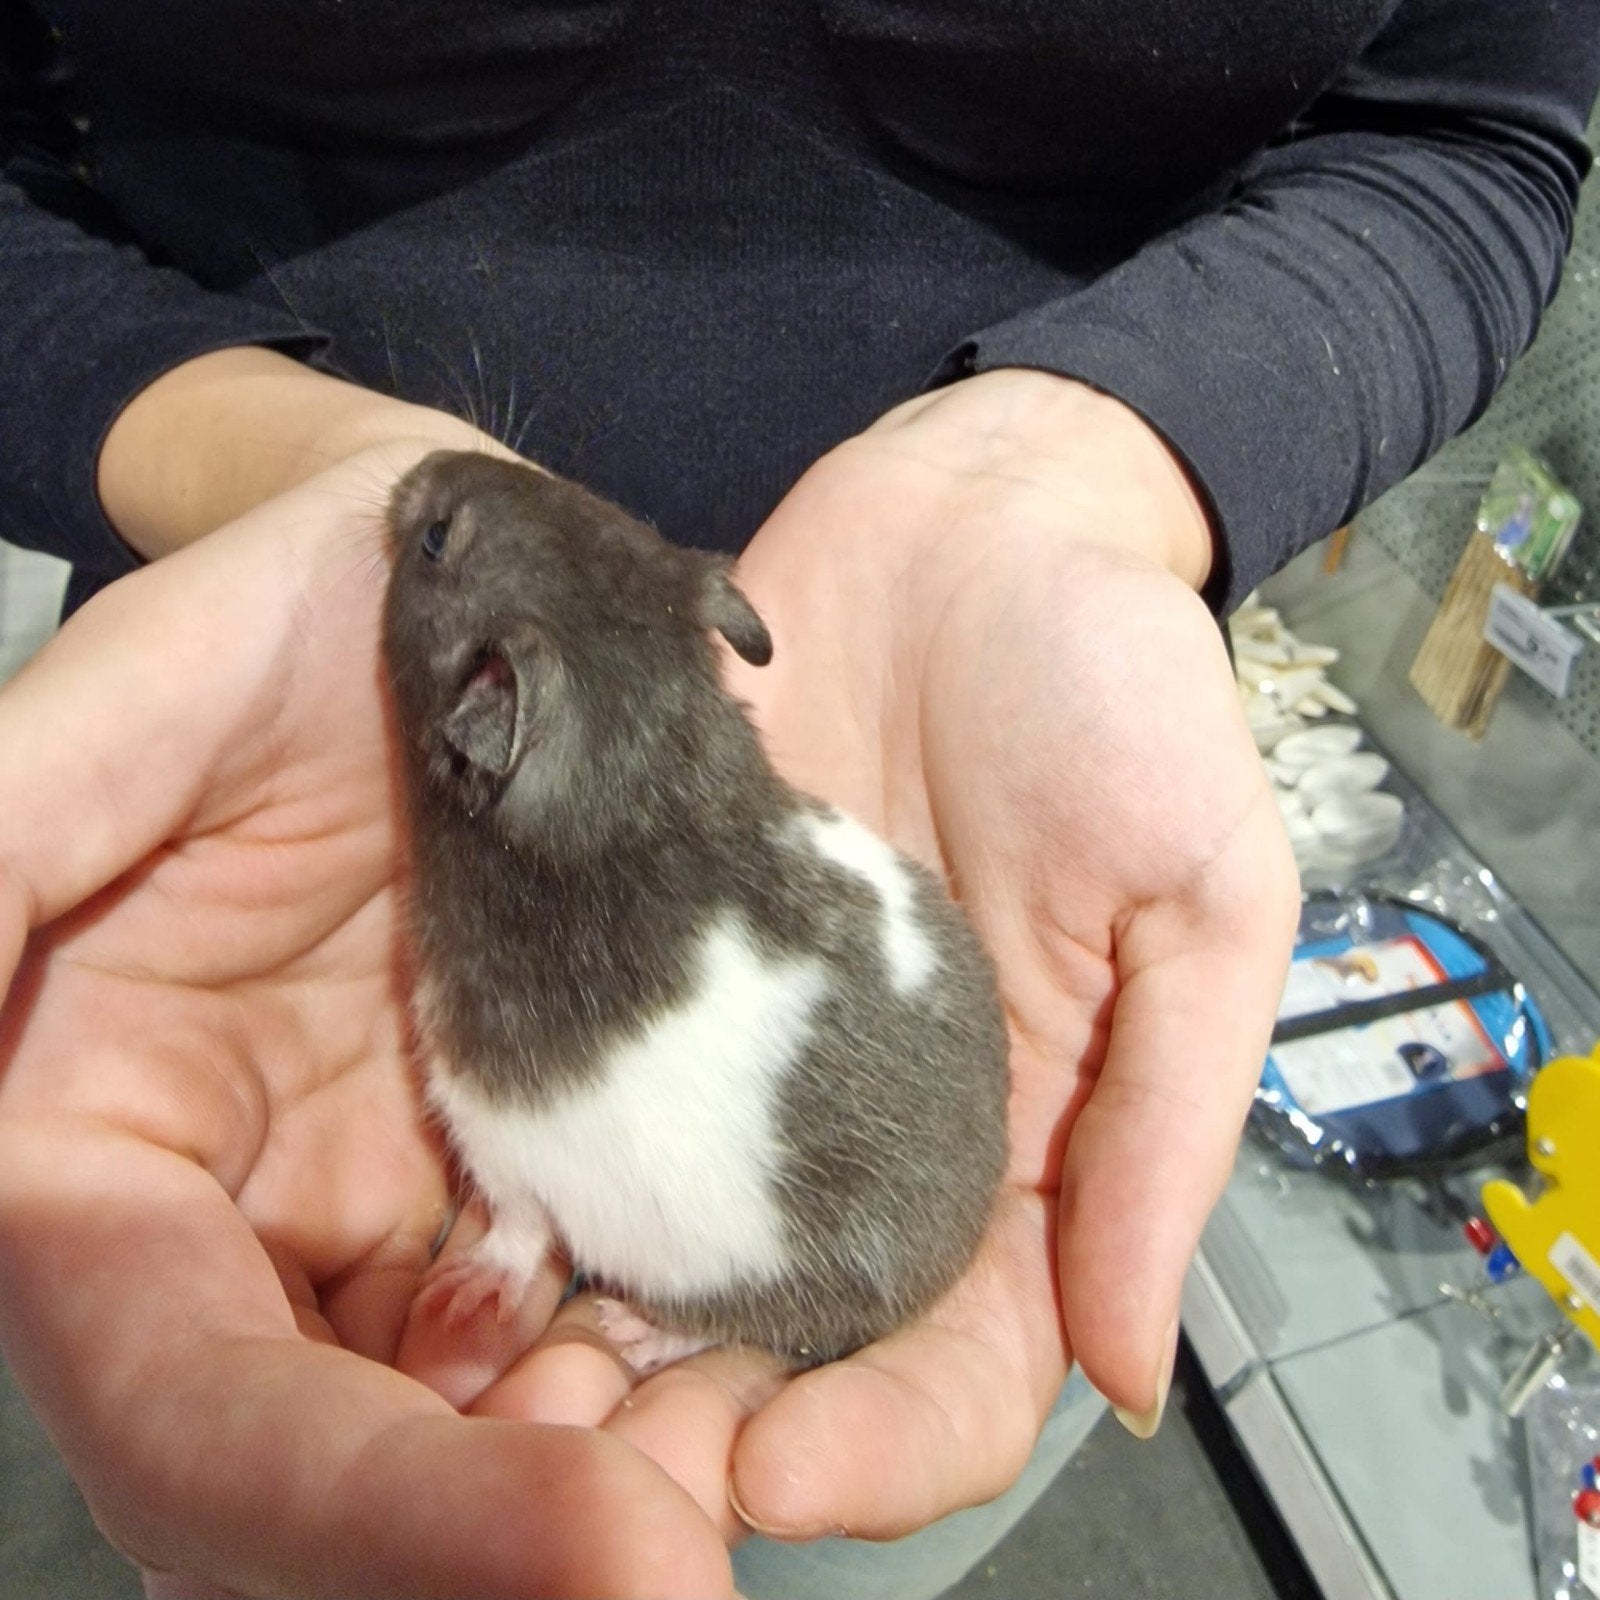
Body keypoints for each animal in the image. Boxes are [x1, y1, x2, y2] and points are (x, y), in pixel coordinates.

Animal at [381, 450, 1008, 1371]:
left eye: (434, 538)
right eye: (575, 490)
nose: (418, 465)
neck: (638, 772)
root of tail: (968, 1226)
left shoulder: (487, 1125)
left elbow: (516, 1230)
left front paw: (464, 1295)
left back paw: (636, 1330)